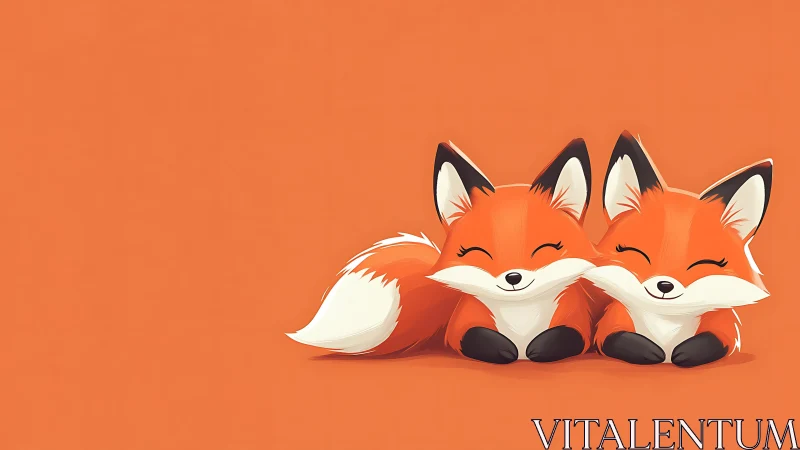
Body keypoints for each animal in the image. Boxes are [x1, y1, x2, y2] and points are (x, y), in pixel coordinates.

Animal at [287, 139, 604, 364]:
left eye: (546, 249)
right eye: (476, 251)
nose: (513, 278)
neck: (520, 317)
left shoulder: (574, 319)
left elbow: (566, 338)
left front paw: (538, 349)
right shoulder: (463, 324)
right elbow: (475, 338)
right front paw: (506, 350)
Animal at [584, 131, 772, 367]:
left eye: (705, 263)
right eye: (636, 252)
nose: (664, 285)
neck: (666, 326)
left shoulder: (721, 323)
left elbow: (714, 341)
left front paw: (684, 353)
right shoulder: (613, 319)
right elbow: (616, 339)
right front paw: (650, 351)